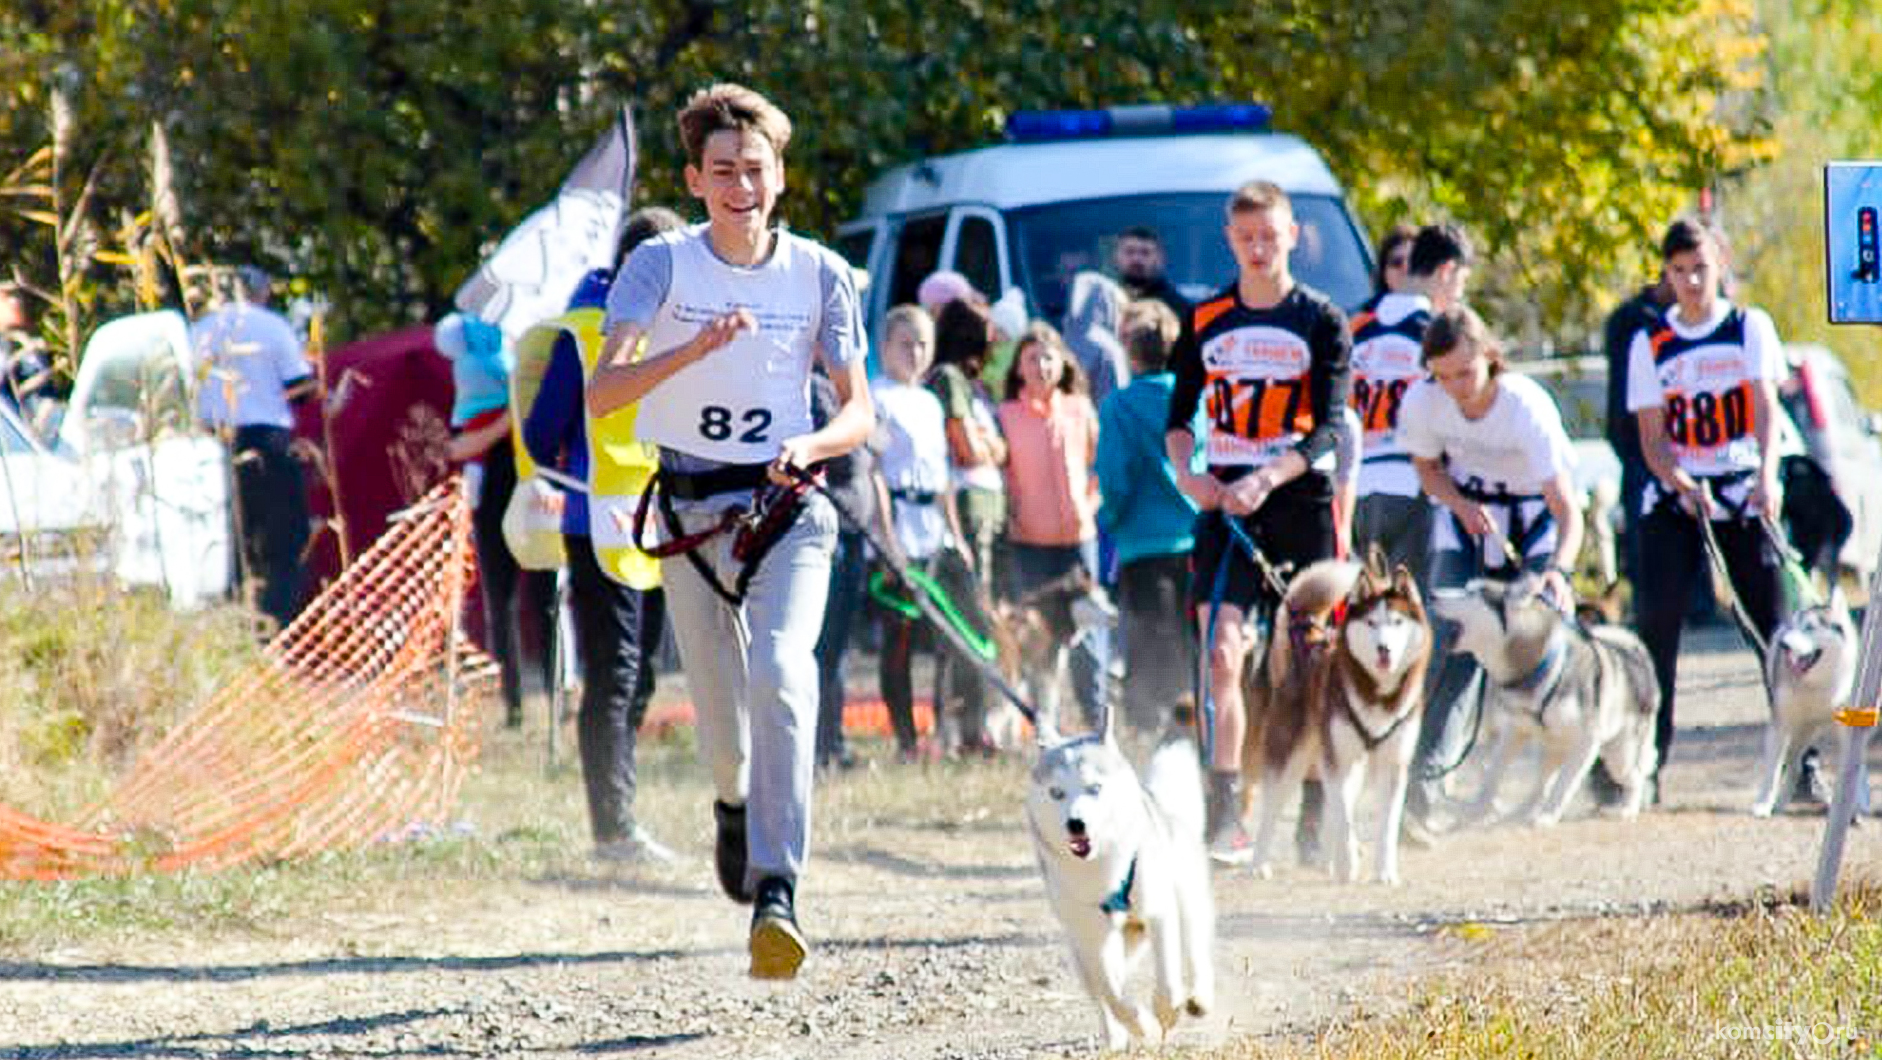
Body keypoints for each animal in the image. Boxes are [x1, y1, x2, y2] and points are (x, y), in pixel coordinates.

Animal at [1023, 704, 1212, 1054]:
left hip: (1187, 903)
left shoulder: (1159, 911)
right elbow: (1112, 992)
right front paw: (1142, 1026)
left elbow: (1167, 976)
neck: (1104, 870)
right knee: (1101, 991)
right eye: (1056, 792)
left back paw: (1200, 998)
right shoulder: (1092, 936)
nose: (1076, 824)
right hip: (1088, 951)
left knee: (1196, 951)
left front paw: (1166, 1012)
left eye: (1094, 788)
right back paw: (1115, 1037)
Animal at [1430, 576, 1656, 824]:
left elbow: (1564, 786)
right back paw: (1520, 812)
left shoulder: (1586, 742)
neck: (1537, 667)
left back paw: (1628, 809)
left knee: (1634, 776)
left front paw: (1548, 817)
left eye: (1474, 593)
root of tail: (1635, 648)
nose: (1431, 594)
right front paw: (1475, 809)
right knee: (1541, 784)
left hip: (1619, 755)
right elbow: (1493, 774)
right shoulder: (1515, 730)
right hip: (1549, 748)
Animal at [1754, 594, 1859, 817]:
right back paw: (1779, 803)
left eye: (1809, 627)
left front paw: (1848, 806)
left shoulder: (1846, 725)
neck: (1814, 684)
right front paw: (1763, 804)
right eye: (1795, 626)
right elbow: (1773, 769)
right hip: (1799, 730)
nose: (1784, 645)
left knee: (1795, 762)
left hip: (1807, 731)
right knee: (1792, 763)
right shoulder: (1780, 723)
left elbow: (1849, 767)